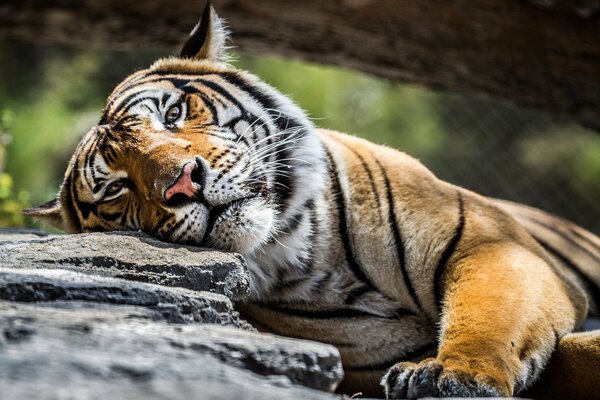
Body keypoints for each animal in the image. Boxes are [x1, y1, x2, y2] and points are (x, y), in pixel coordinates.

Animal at [24, 3, 600, 400]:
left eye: (172, 114)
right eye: (118, 187)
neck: (304, 249)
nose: (184, 183)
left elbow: (490, 316)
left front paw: (452, 374)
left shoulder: (488, 244)